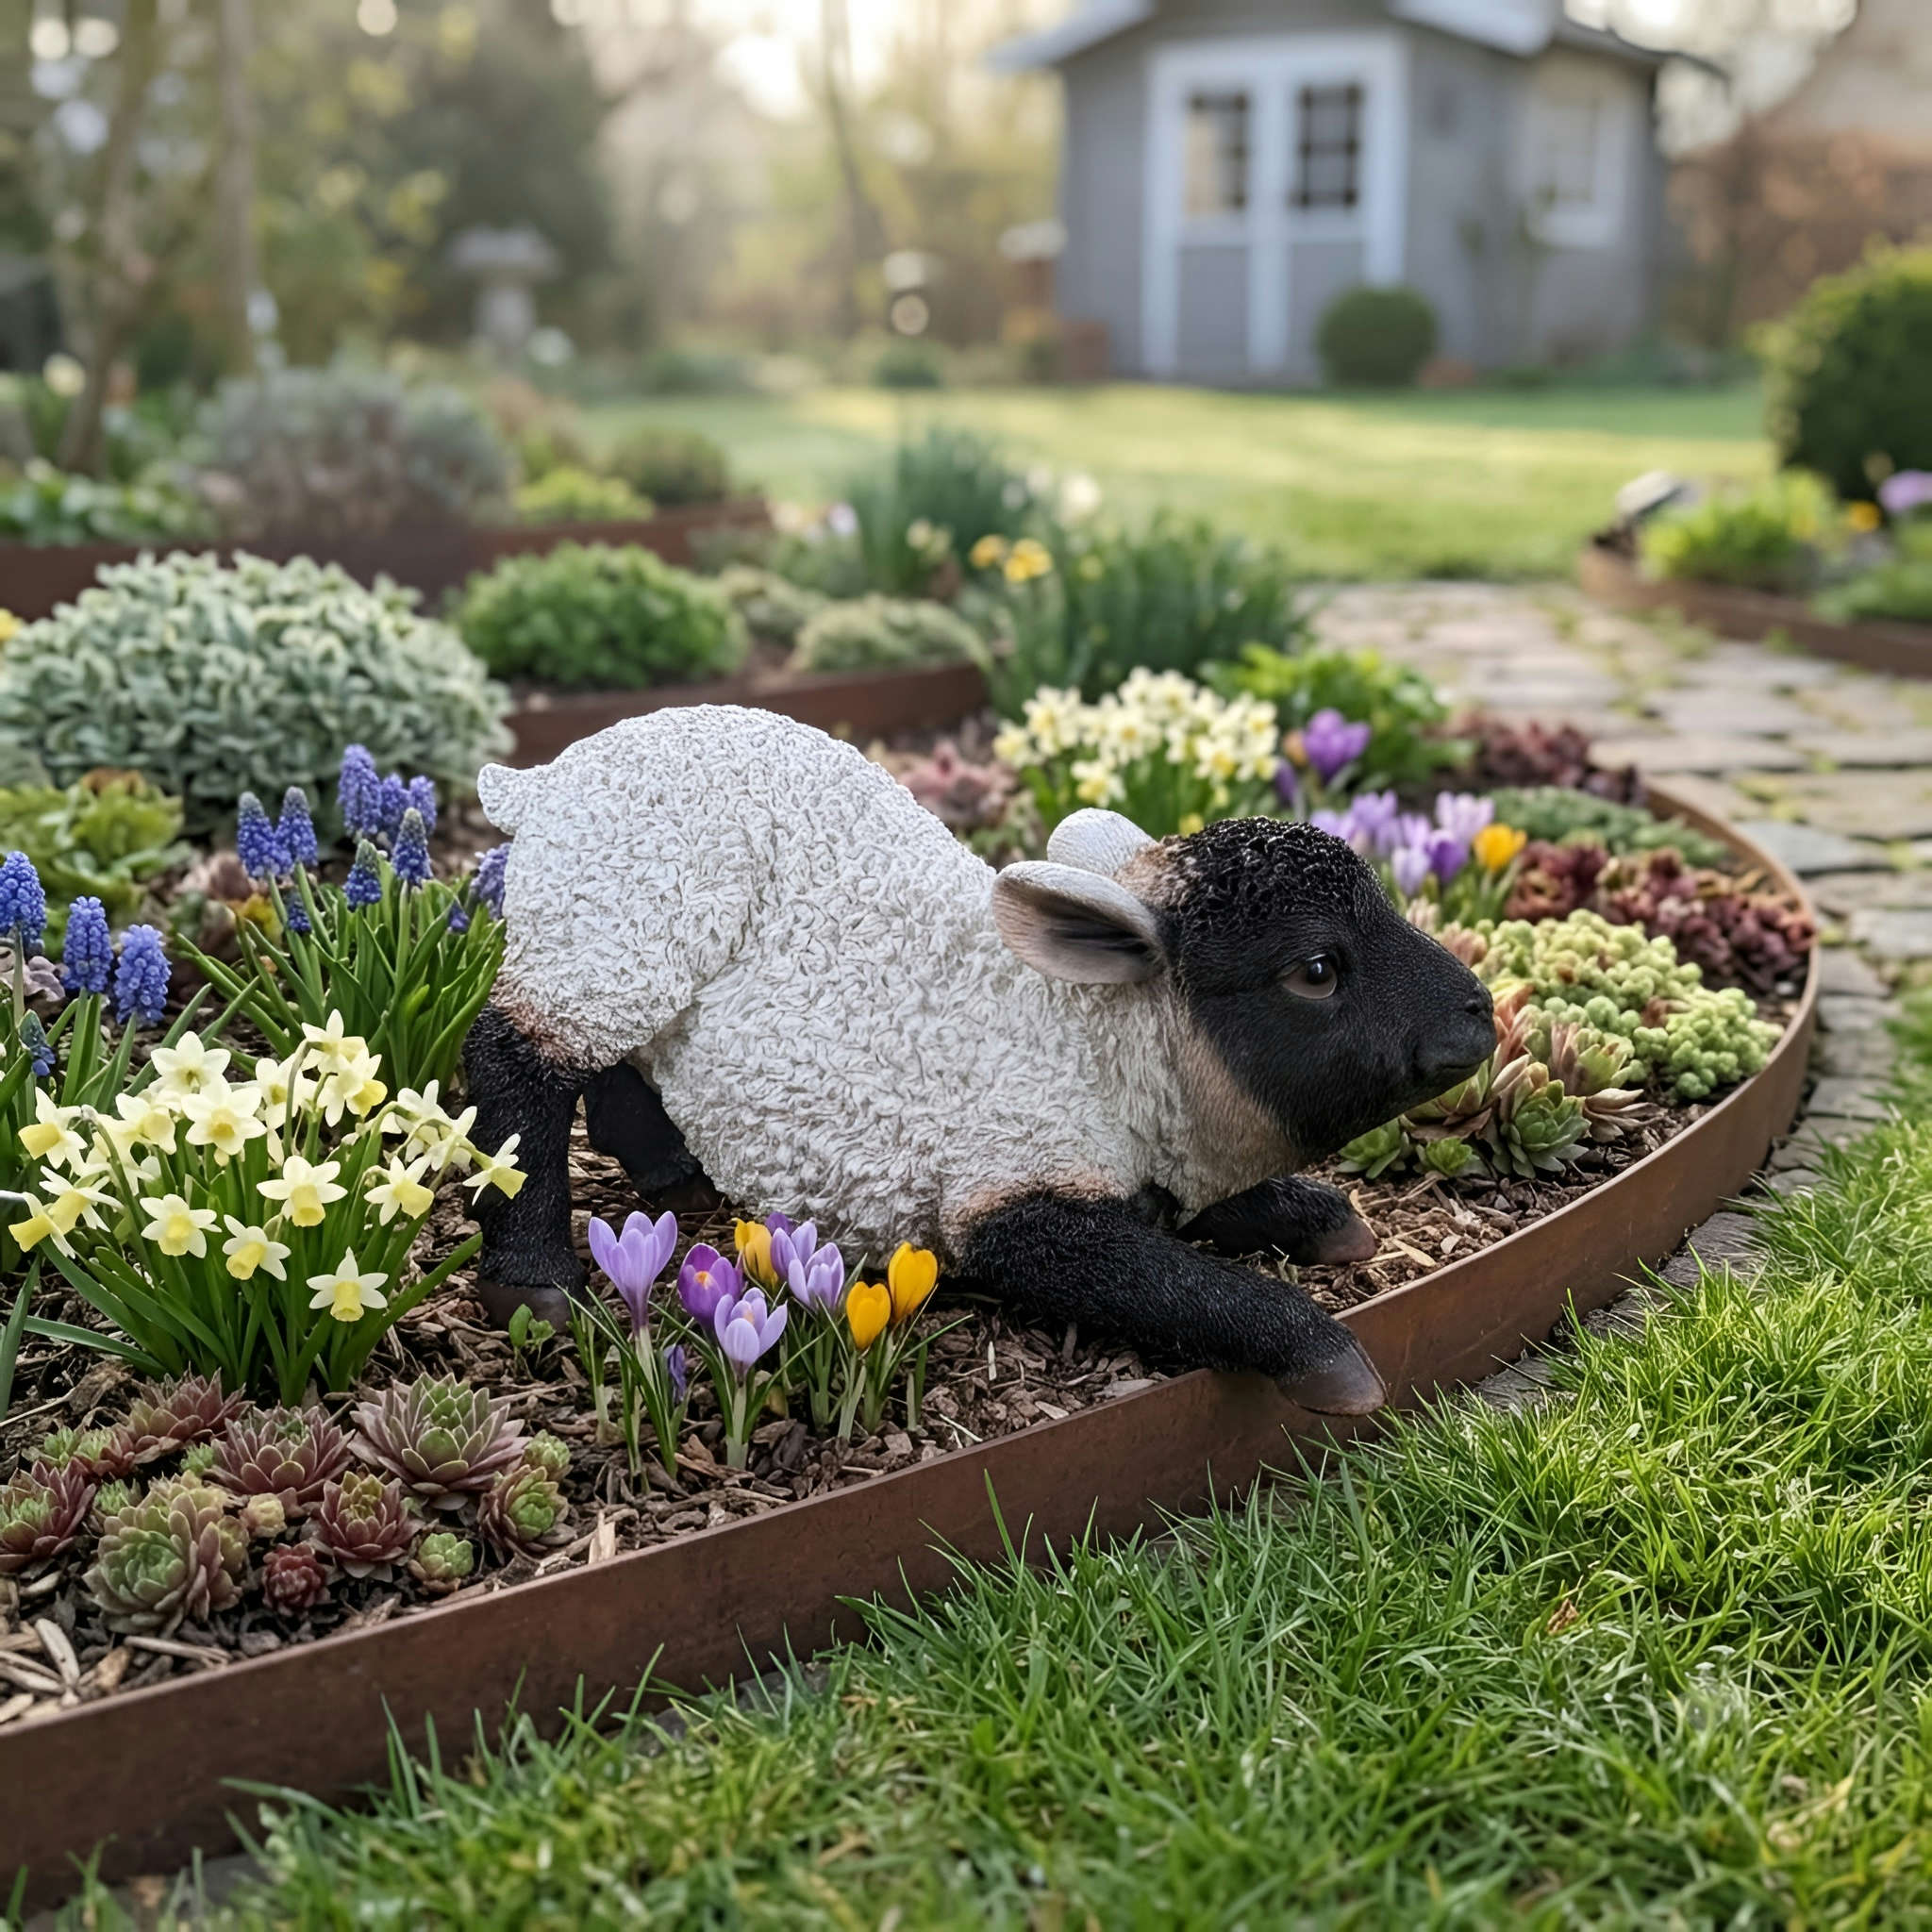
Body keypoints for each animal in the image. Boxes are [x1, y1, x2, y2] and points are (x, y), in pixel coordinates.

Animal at [464, 705, 1495, 1415]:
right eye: (1316, 970)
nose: (1479, 1016)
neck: (1099, 1040)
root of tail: (544, 780)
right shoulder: (1007, 1188)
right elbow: (1165, 1279)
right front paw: (1328, 1360)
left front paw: (1318, 1217)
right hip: (613, 913)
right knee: (514, 1057)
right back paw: (535, 1280)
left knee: (618, 1059)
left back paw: (666, 1168)